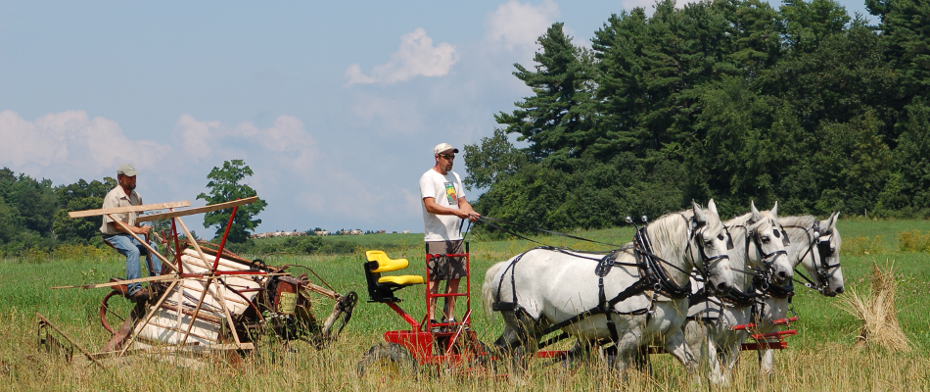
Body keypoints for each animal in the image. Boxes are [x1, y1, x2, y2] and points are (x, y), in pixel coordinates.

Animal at [482, 201, 736, 376]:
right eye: (707, 241)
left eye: (726, 239)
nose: (725, 285)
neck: (649, 275)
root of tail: (508, 263)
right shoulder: (628, 338)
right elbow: (623, 373)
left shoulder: (671, 335)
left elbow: (692, 366)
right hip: (523, 327)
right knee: (511, 357)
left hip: (534, 327)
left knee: (510, 355)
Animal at [676, 201, 792, 384]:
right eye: (765, 238)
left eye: (782, 237)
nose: (785, 273)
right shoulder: (699, 340)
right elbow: (714, 377)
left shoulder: (743, 337)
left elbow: (751, 372)